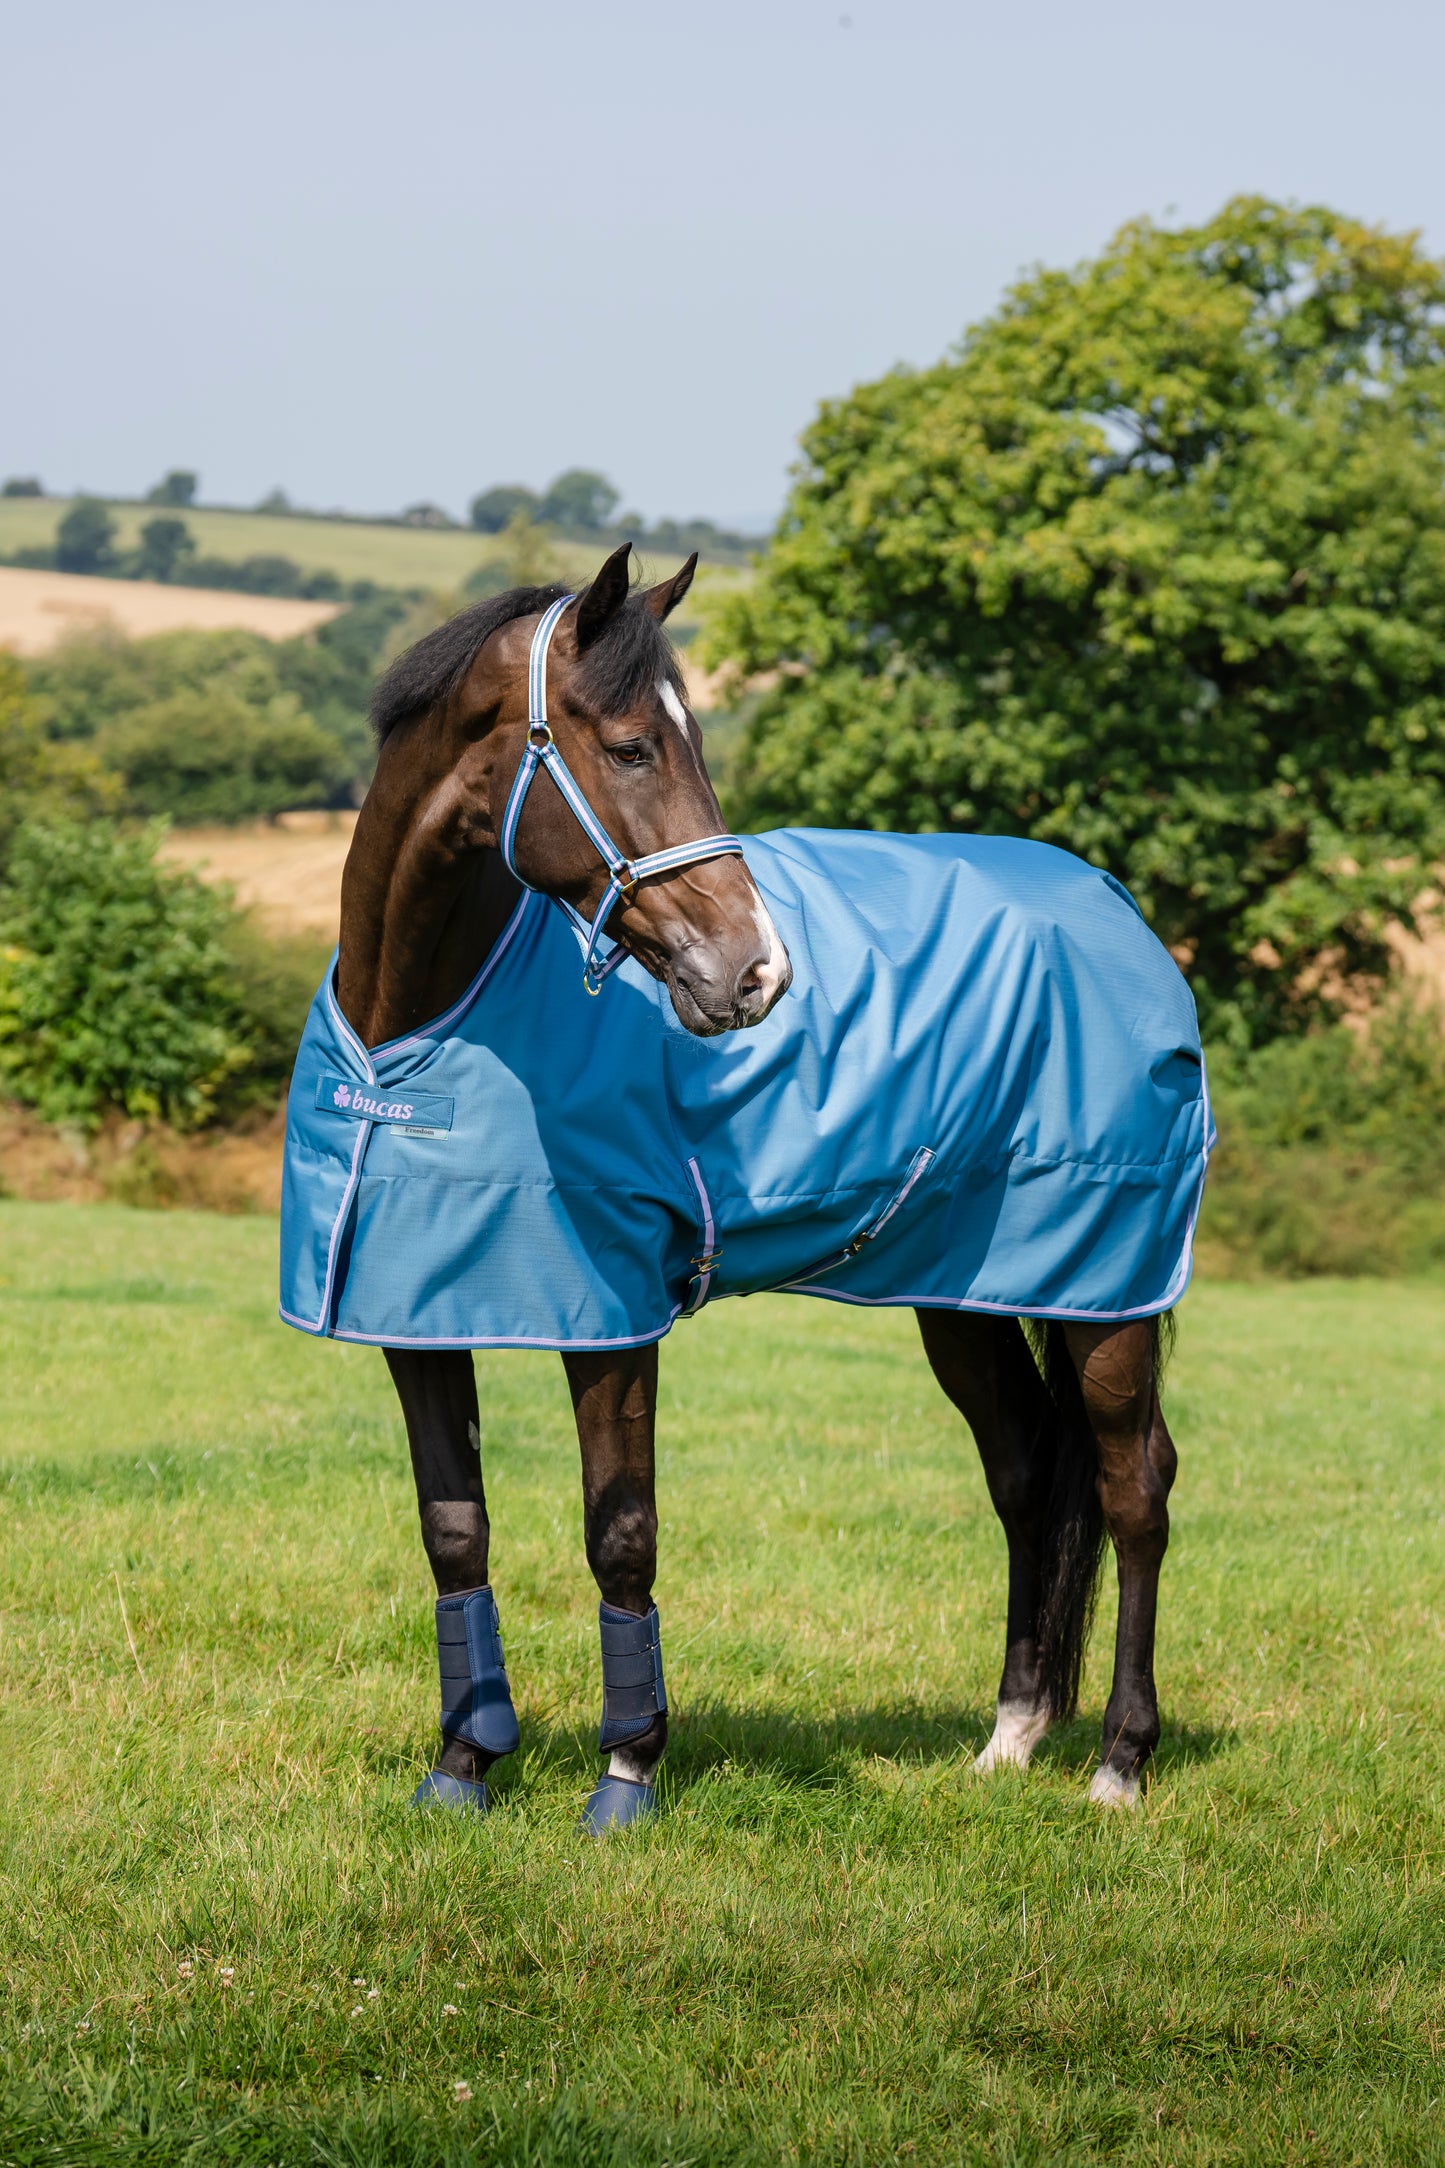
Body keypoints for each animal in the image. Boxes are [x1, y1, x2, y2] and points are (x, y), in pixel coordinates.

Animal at [280, 543, 1206, 1831]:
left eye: (694, 745)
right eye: (629, 748)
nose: (757, 970)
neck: (410, 1030)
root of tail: (1116, 912)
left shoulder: (613, 1320)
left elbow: (621, 1531)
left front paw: (625, 1775)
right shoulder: (413, 1315)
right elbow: (453, 1531)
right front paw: (463, 1765)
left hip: (1105, 1292)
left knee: (1132, 1488)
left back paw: (1119, 1759)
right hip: (965, 1296)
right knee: (1025, 1475)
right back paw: (1010, 1734)